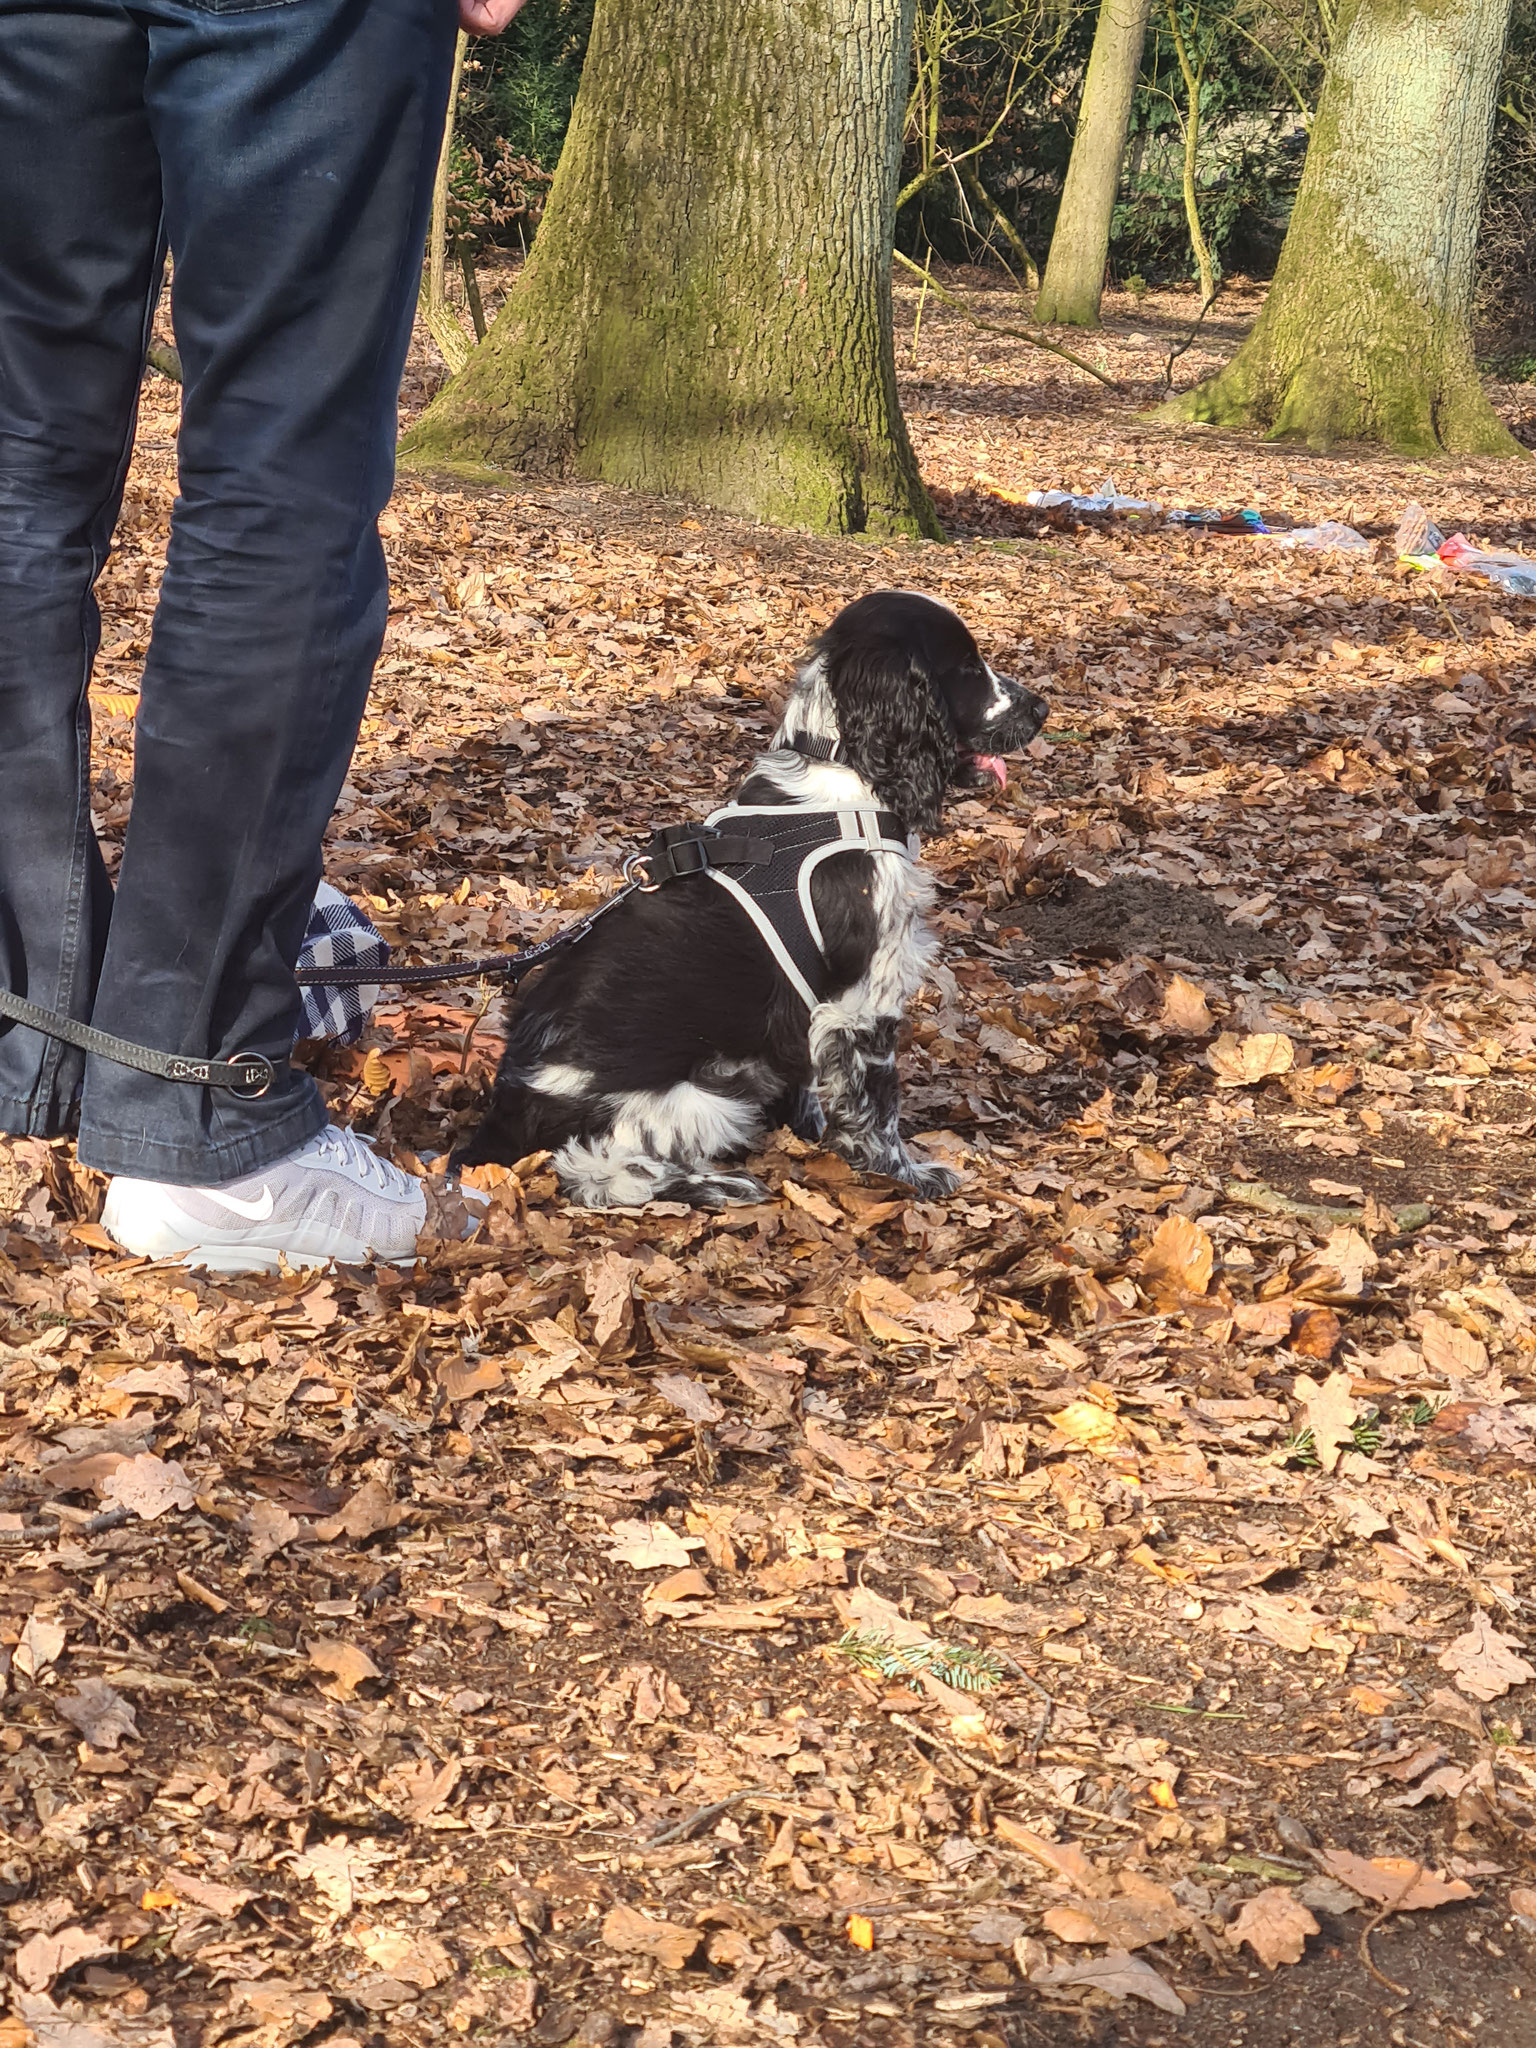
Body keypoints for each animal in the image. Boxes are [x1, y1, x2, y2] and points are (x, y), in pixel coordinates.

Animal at [454, 589, 1048, 1196]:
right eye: (968, 667)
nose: (1041, 708)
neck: (845, 771)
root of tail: (507, 1110)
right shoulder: (863, 1001)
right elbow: (878, 1110)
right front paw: (908, 1177)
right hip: (710, 1092)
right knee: (594, 1167)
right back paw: (718, 1185)